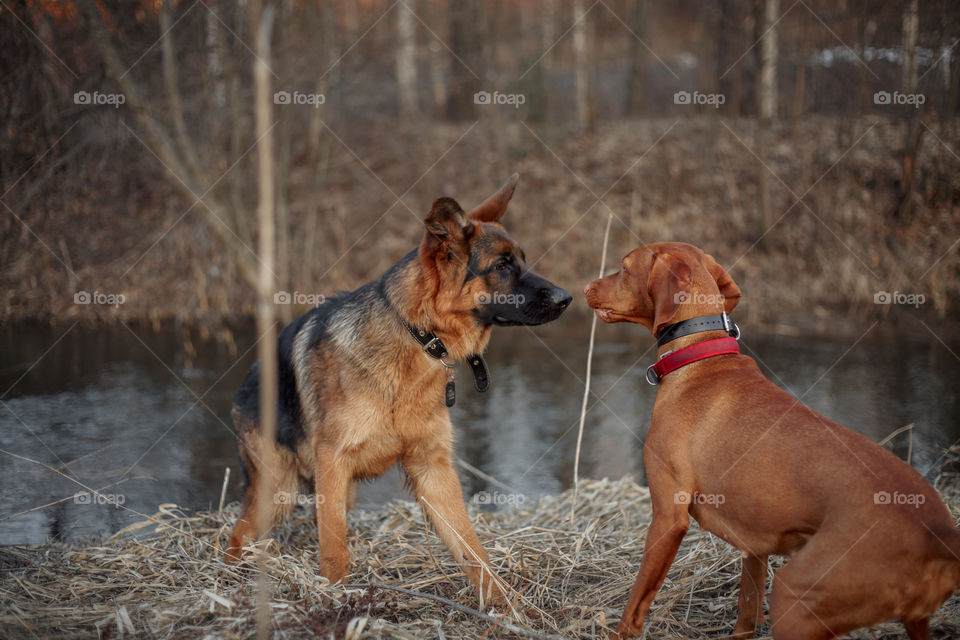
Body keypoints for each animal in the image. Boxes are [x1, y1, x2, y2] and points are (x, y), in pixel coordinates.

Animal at [225, 175, 568, 604]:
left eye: (522, 259)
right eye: (502, 265)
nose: (567, 298)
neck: (418, 337)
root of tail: (248, 379)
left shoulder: (433, 471)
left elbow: (473, 549)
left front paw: (507, 607)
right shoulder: (333, 463)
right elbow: (334, 551)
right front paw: (334, 599)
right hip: (279, 491)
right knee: (238, 535)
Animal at [584, 240, 960, 640]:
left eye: (624, 267)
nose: (586, 286)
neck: (699, 354)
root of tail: (940, 536)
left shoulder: (668, 516)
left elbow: (634, 605)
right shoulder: (754, 546)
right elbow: (747, 610)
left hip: (795, 595)